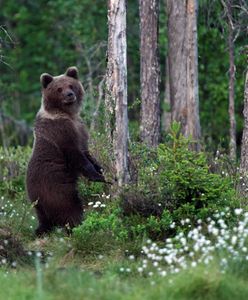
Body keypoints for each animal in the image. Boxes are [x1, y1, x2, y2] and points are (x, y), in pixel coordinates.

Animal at [26, 66, 107, 237]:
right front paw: (97, 176)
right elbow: (76, 155)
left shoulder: (80, 129)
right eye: (59, 89)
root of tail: (36, 202)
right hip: (56, 190)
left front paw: (100, 169)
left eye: (71, 85)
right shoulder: (61, 132)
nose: (70, 94)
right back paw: (78, 227)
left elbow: (87, 152)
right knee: (71, 209)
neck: (67, 113)